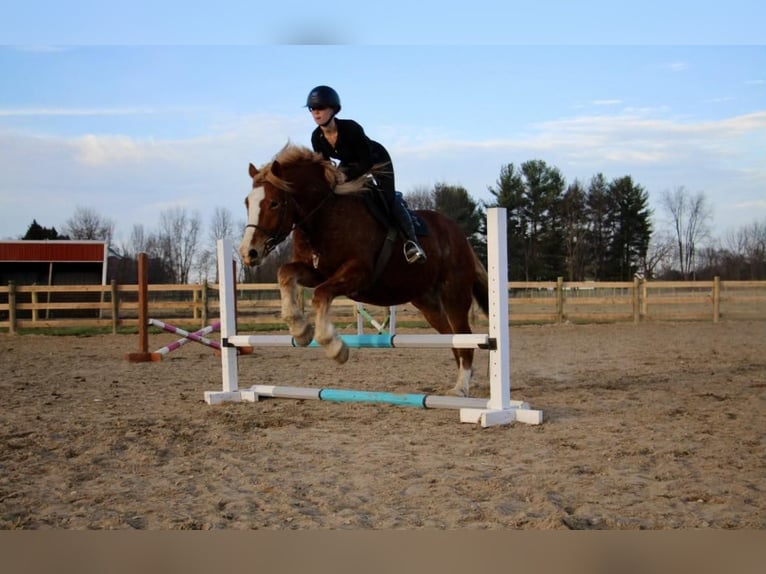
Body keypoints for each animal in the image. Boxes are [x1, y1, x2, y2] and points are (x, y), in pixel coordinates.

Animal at [240, 144, 492, 398]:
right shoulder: (317, 272)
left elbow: (321, 295)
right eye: (247, 203)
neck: (325, 217)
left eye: (274, 203)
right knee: (454, 338)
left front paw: (335, 347)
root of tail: (459, 235)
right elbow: (285, 274)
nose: (248, 252)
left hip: (454, 295)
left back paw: (460, 388)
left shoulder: (357, 273)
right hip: (428, 304)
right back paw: (462, 381)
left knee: (465, 336)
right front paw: (300, 330)